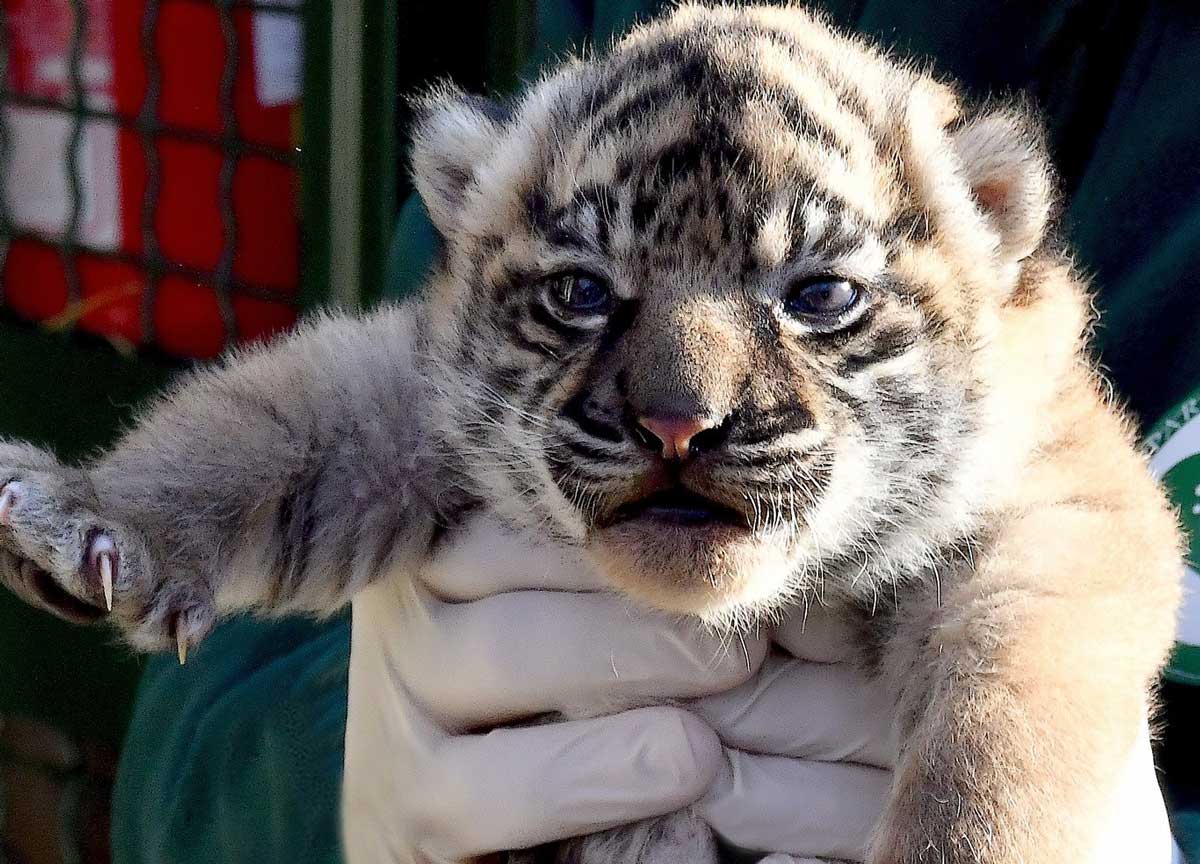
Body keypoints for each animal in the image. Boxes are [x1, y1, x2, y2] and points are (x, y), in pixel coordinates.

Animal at [0, 4, 1182, 863]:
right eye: (581, 291)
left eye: (819, 296)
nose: (678, 425)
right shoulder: (405, 399)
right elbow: (262, 422)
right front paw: (87, 519)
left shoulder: (1056, 515)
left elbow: (1007, 717)